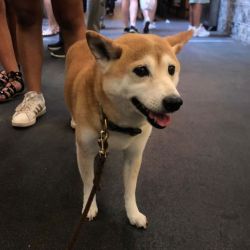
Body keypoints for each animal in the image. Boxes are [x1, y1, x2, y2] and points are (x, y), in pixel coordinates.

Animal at [64, 29, 191, 229]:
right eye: (141, 70)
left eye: (171, 69)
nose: (174, 102)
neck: (118, 122)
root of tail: (81, 41)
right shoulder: (84, 152)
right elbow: (88, 182)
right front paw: (89, 206)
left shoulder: (134, 154)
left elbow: (131, 189)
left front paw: (133, 213)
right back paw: (73, 120)